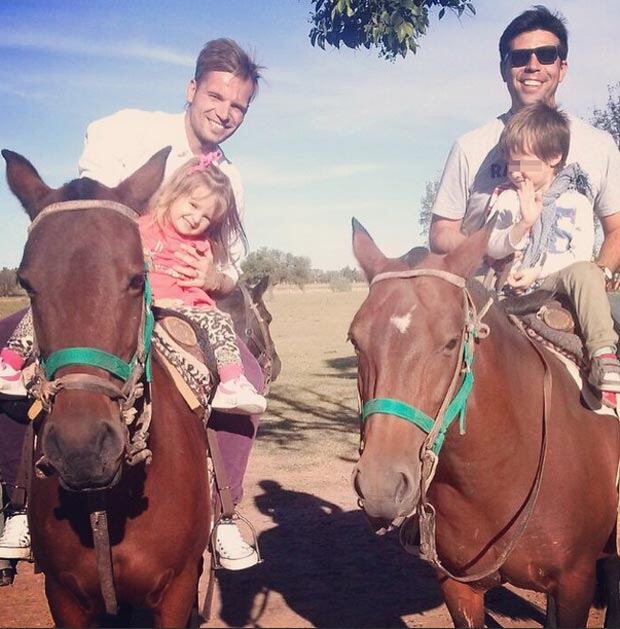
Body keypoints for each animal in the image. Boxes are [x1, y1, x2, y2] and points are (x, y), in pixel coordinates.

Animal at [3, 147, 211, 624]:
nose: (82, 450)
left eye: (137, 279)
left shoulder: (176, 591)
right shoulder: (63, 596)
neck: (107, 508)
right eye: (26, 283)